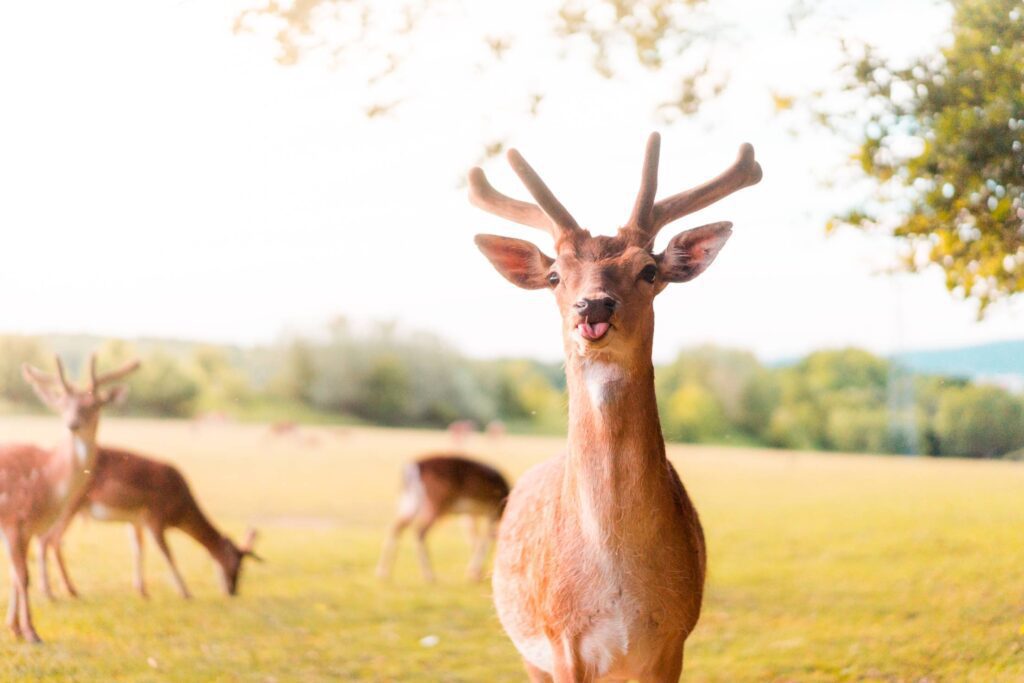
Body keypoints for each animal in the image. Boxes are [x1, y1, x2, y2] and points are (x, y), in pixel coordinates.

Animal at [0, 356, 139, 643]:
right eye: (63, 403)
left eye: (94, 404)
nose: (72, 423)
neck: (48, 482)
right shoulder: (11, 517)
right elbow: (23, 575)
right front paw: (31, 632)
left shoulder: (27, 528)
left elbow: (14, 575)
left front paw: (15, 627)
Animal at [38, 450, 264, 602]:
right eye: (237, 565)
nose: (233, 592)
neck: (180, 509)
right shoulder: (155, 518)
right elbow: (167, 554)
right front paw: (186, 593)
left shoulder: (135, 521)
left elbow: (138, 549)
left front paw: (142, 591)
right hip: (71, 504)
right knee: (51, 538)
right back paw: (64, 590)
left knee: (48, 538)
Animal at [374, 456, 509, 585]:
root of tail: (411, 469)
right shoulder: (492, 511)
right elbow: (485, 539)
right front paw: (475, 574)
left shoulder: (475, 514)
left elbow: (476, 538)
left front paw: (475, 574)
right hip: (436, 502)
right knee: (420, 531)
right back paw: (430, 576)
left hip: (409, 502)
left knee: (396, 528)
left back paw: (383, 574)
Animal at [468, 131, 765, 679]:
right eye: (555, 276)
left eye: (648, 270)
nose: (593, 306)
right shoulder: (560, 639)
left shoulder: (674, 638)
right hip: (527, 650)